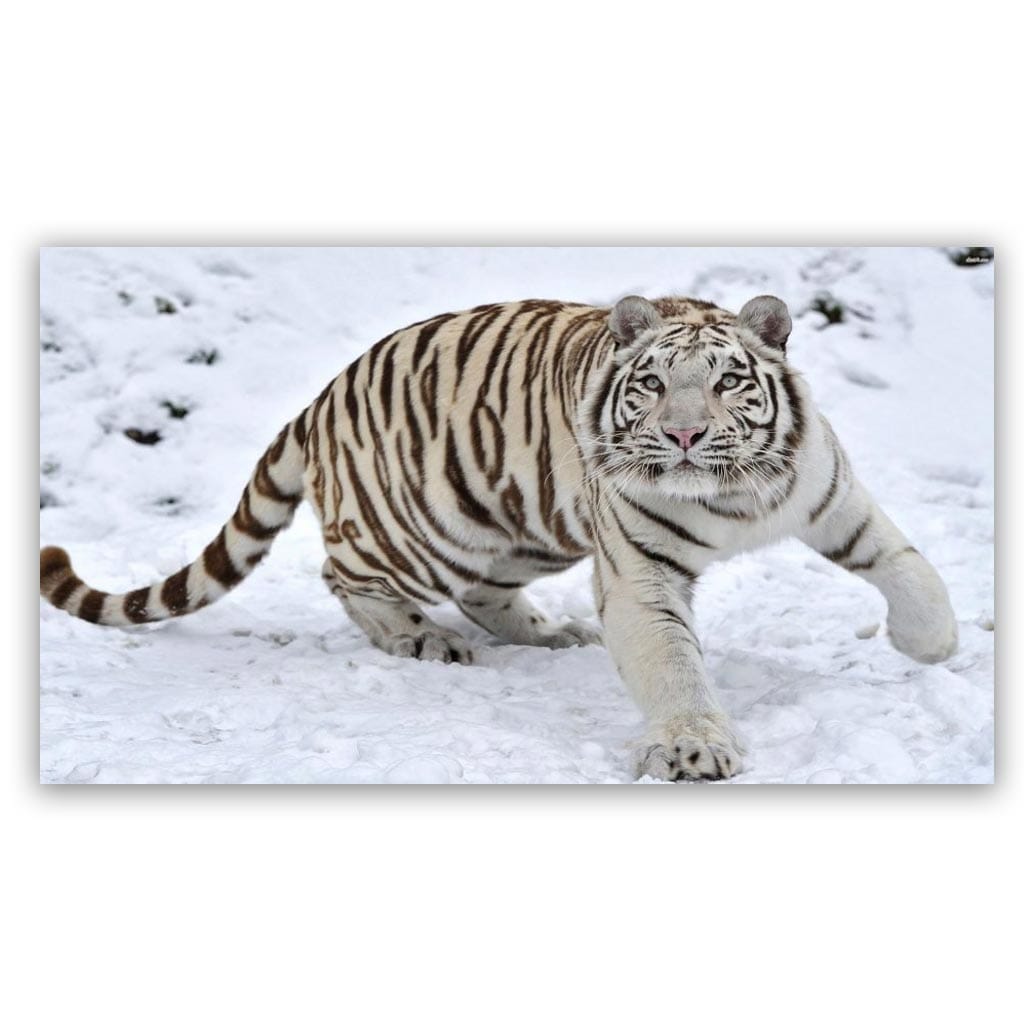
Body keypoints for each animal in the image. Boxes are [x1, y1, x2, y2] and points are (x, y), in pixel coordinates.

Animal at [39, 292, 959, 781]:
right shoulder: (640, 574)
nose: (685, 434)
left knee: (485, 589)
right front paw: (693, 747)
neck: (729, 496)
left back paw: (549, 634)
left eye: (729, 381)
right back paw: (421, 640)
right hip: (415, 529)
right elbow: (674, 665)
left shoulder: (830, 497)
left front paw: (932, 646)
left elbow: (908, 565)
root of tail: (320, 398)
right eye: (653, 384)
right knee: (343, 575)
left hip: (524, 524)